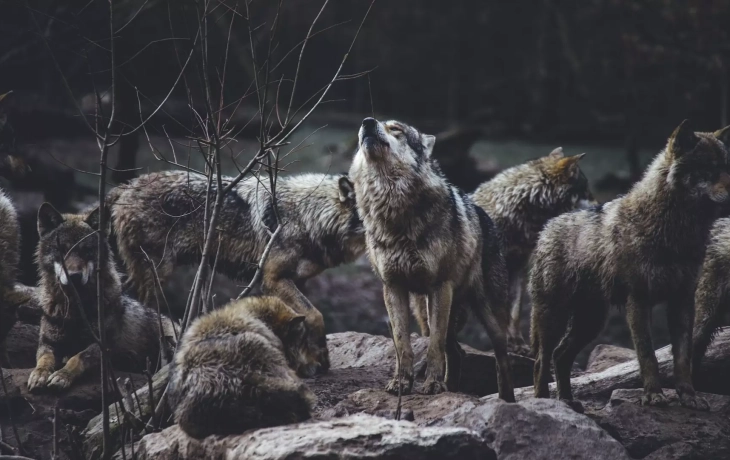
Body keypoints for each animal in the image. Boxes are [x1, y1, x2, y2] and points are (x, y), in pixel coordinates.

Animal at [27, 204, 178, 392]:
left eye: (87, 250)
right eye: (62, 250)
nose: (74, 276)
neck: (76, 309)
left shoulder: (103, 345)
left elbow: (77, 357)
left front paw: (62, 375)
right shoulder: (48, 343)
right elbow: (44, 359)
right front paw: (39, 374)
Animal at [107, 171, 364, 376]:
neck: (308, 215)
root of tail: (126, 186)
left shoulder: (298, 281)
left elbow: (303, 321)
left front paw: (311, 362)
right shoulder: (273, 279)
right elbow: (315, 315)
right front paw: (321, 360)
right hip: (156, 275)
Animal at [346, 117, 512, 400]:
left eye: (396, 129)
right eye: (367, 127)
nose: (367, 122)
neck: (393, 209)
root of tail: (484, 215)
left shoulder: (439, 287)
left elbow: (434, 345)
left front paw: (432, 384)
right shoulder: (393, 288)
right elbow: (402, 344)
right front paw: (401, 383)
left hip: (488, 317)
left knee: (501, 359)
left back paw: (506, 400)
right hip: (428, 309)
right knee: (457, 351)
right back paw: (453, 388)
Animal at [528, 121, 728, 410]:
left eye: (727, 167)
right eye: (710, 169)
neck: (675, 231)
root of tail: (547, 227)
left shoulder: (682, 301)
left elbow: (682, 358)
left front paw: (689, 396)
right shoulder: (638, 300)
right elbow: (647, 355)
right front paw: (654, 395)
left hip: (591, 322)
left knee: (560, 355)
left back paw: (567, 401)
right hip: (554, 317)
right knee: (541, 361)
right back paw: (546, 402)